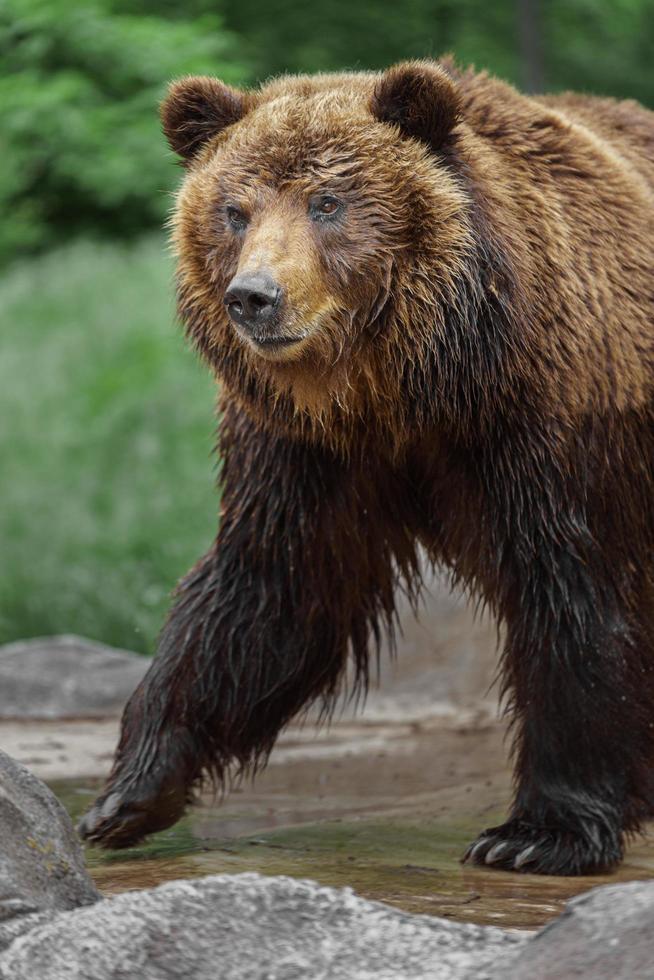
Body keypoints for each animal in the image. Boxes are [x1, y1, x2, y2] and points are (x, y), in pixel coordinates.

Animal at [79, 57, 654, 876]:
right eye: (234, 210)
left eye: (328, 202)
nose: (254, 297)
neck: (405, 387)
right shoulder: (306, 450)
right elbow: (268, 587)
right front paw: (127, 793)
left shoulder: (544, 419)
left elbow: (571, 585)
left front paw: (539, 833)